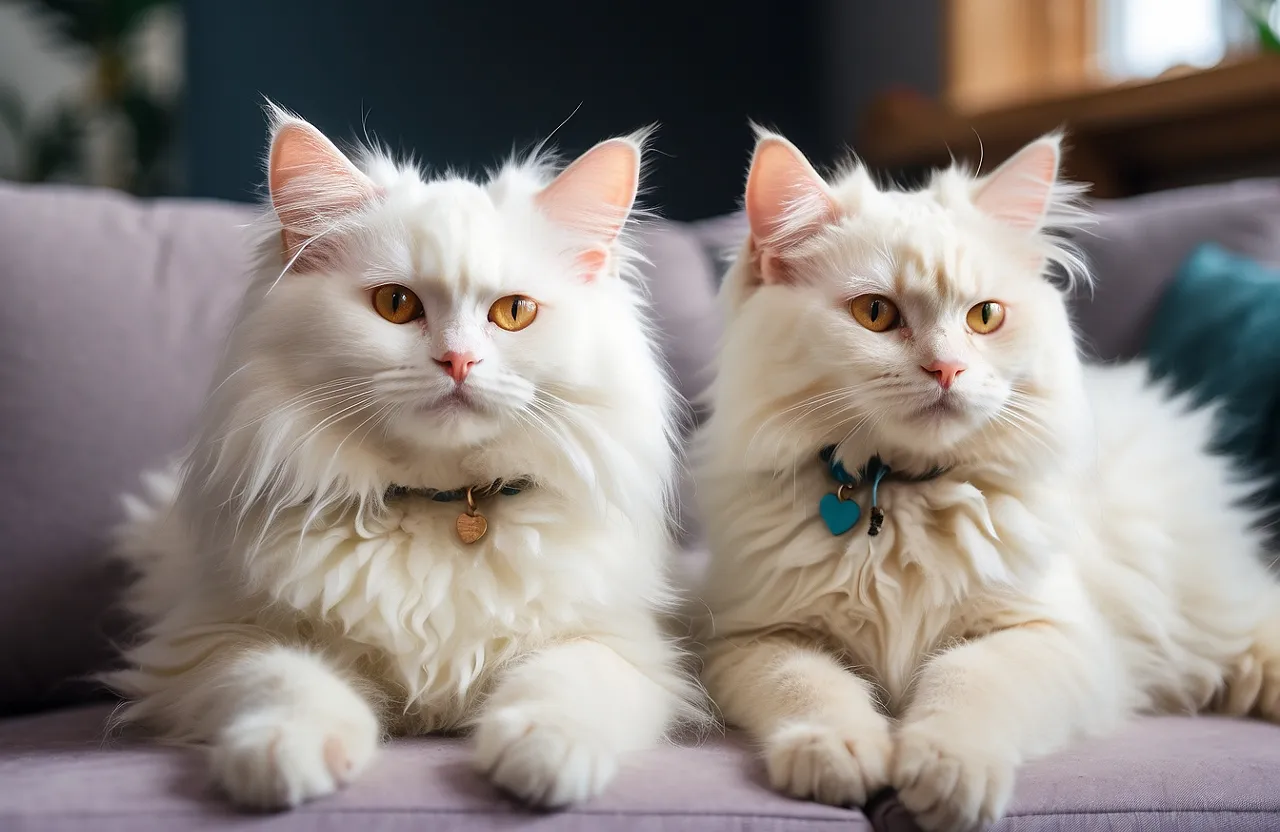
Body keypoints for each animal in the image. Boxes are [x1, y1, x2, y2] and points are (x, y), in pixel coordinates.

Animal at [107, 106, 701, 808]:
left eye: (515, 312)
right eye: (396, 305)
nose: (458, 361)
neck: (441, 506)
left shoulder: (621, 645)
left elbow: (564, 682)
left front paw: (544, 754)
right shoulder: (214, 636)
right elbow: (281, 678)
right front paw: (286, 755)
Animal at [696, 133, 1274, 824]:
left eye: (985, 317)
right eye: (874, 313)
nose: (947, 369)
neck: (902, 495)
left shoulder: (1049, 634)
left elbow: (965, 683)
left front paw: (945, 769)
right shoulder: (753, 636)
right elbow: (810, 687)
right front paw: (836, 752)